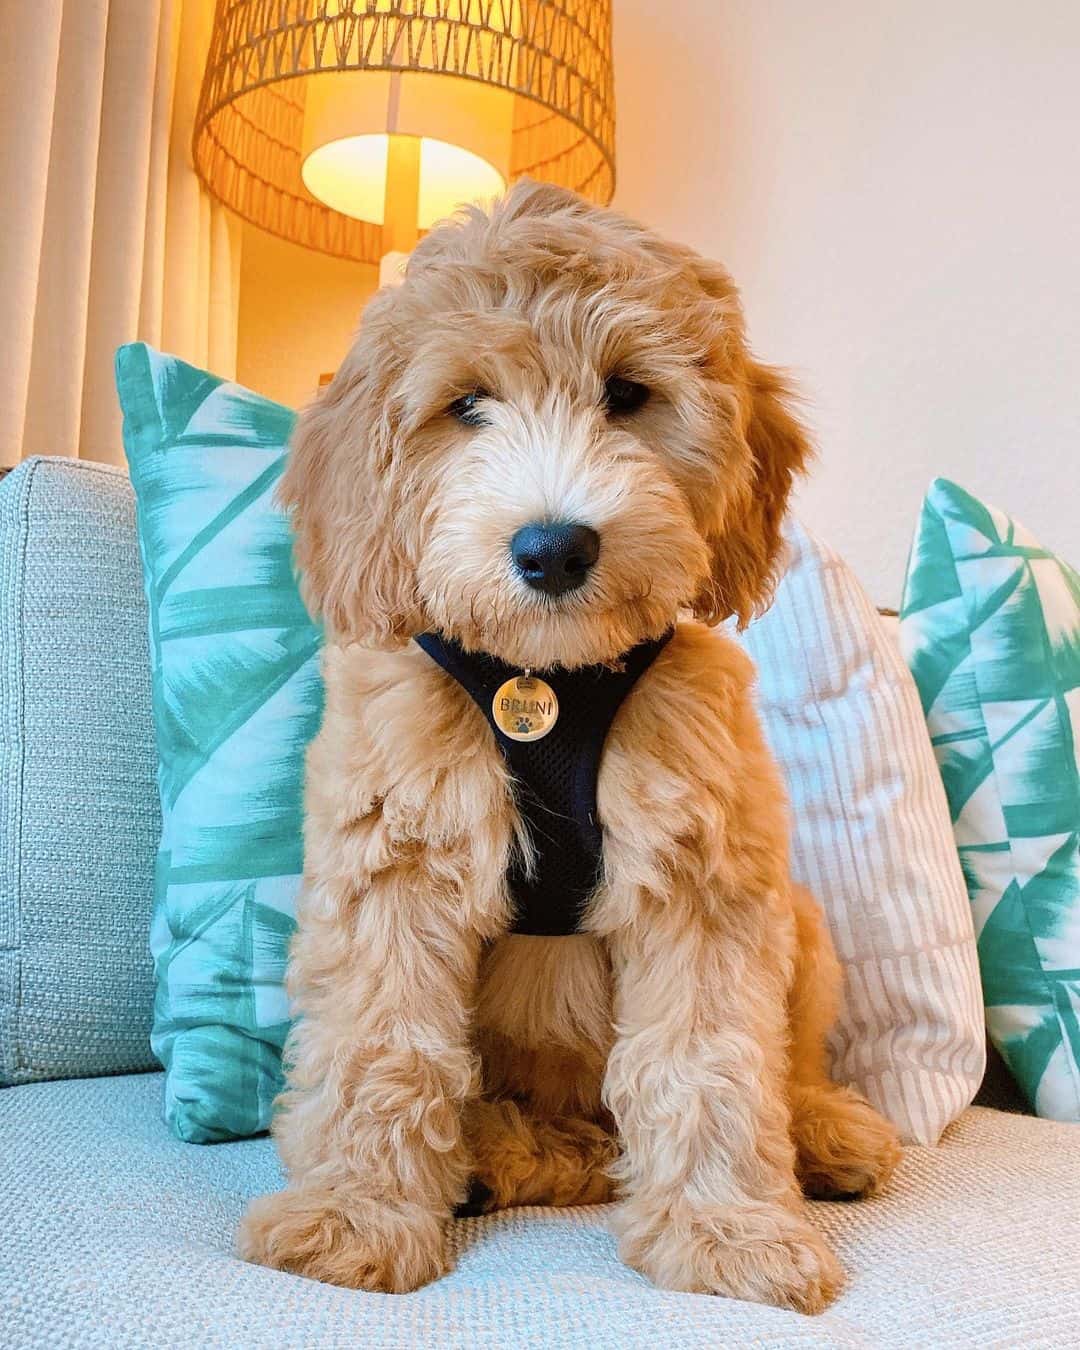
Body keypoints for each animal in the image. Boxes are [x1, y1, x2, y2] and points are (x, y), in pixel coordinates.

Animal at [238, 182, 901, 1317]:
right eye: (465, 406)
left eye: (628, 394)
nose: (553, 547)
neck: (544, 681)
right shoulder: (391, 861)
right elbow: (381, 1043)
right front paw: (352, 1216)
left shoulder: (704, 872)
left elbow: (711, 1059)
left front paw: (727, 1232)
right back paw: (495, 1155)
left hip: (802, 920)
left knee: (776, 1068)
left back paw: (821, 1131)